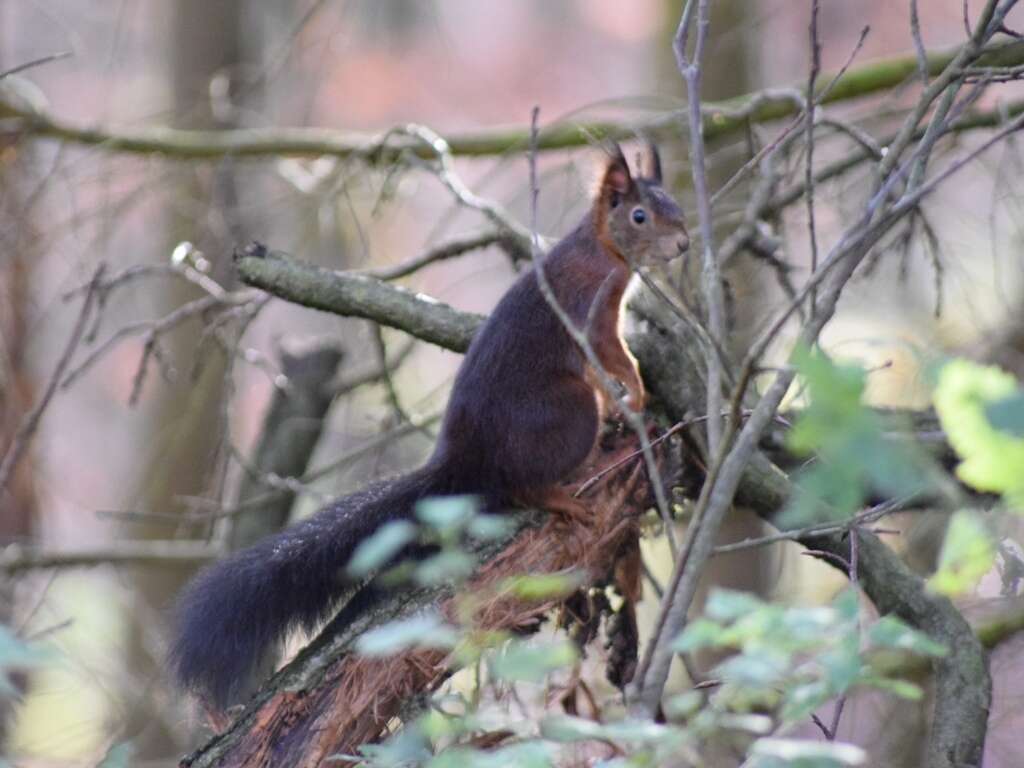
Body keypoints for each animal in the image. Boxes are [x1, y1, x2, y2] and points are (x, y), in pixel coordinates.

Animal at [169, 143, 688, 708]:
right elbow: (609, 356)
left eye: (674, 204)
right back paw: (563, 497)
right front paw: (634, 392)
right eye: (639, 216)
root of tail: (465, 460)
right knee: (521, 485)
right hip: (568, 414)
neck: (601, 249)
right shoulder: (593, 310)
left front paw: (625, 406)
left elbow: (604, 369)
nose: (684, 243)